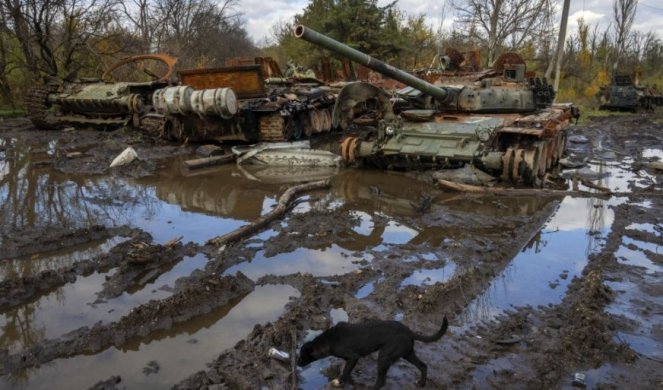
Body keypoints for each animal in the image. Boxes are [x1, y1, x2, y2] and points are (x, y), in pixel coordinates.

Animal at [298, 316, 448, 390]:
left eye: (302, 356)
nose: (298, 363)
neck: (329, 340)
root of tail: (408, 331)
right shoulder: (348, 360)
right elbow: (343, 372)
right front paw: (338, 382)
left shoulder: (353, 357)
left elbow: (346, 373)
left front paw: (352, 383)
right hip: (407, 353)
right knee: (423, 366)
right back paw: (421, 383)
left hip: (383, 357)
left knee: (381, 381)